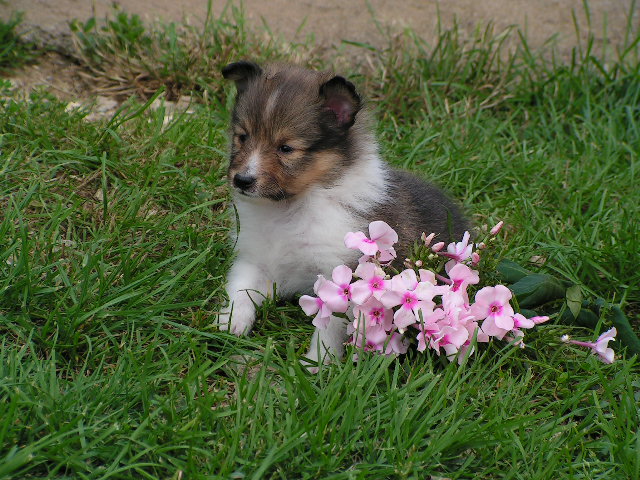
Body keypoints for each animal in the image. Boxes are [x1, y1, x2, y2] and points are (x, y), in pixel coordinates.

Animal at [218, 62, 468, 366]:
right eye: (242, 136)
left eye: (286, 148)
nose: (242, 180)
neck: (289, 208)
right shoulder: (255, 258)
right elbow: (241, 289)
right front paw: (230, 323)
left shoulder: (341, 275)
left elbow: (329, 328)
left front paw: (316, 363)